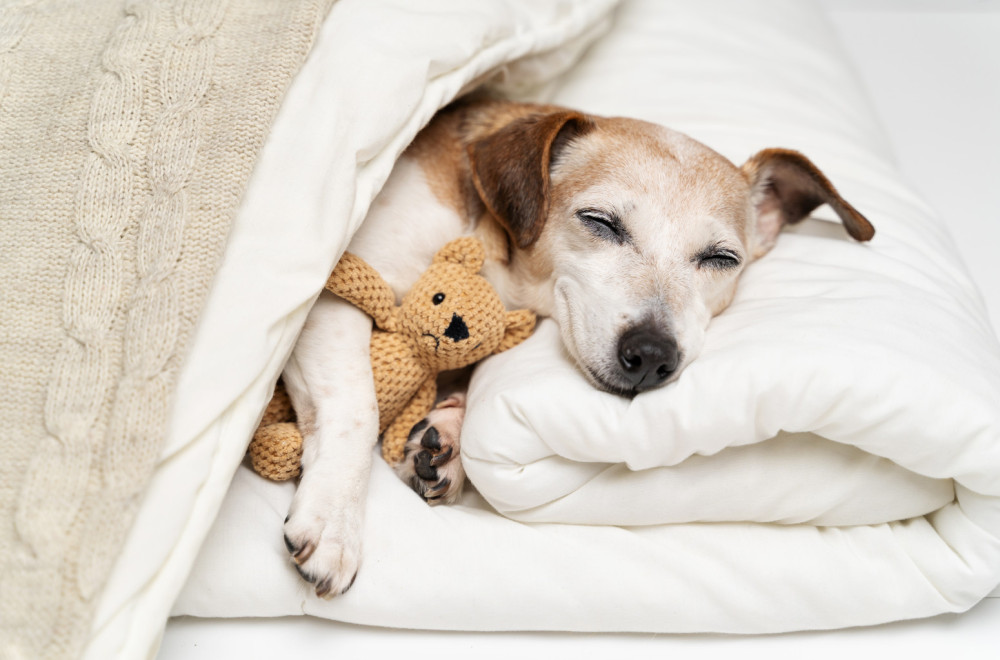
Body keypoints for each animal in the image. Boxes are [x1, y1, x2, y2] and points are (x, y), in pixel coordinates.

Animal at [278, 96, 872, 600]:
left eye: (721, 259)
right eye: (600, 222)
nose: (652, 354)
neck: (491, 254)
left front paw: (447, 438)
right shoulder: (335, 291)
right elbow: (357, 407)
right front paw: (335, 521)